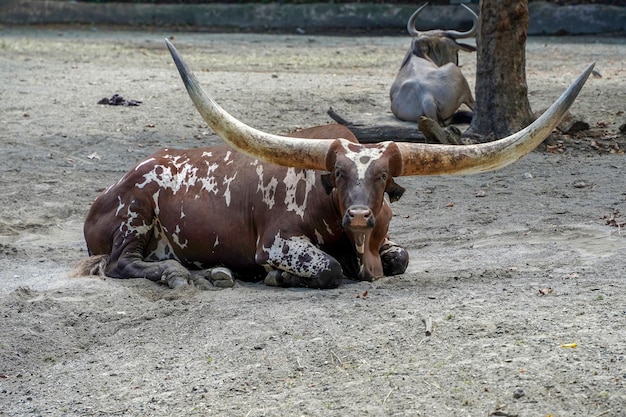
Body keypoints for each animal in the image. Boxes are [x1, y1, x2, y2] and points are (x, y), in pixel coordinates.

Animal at [77, 40, 588, 290]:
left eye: (382, 177)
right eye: (339, 176)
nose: (359, 215)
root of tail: (108, 191)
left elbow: (401, 257)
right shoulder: (277, 242)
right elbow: (327, 269)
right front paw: (281, 277)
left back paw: (212, 273)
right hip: (136, 214)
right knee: (121, 263)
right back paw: (179, 276)